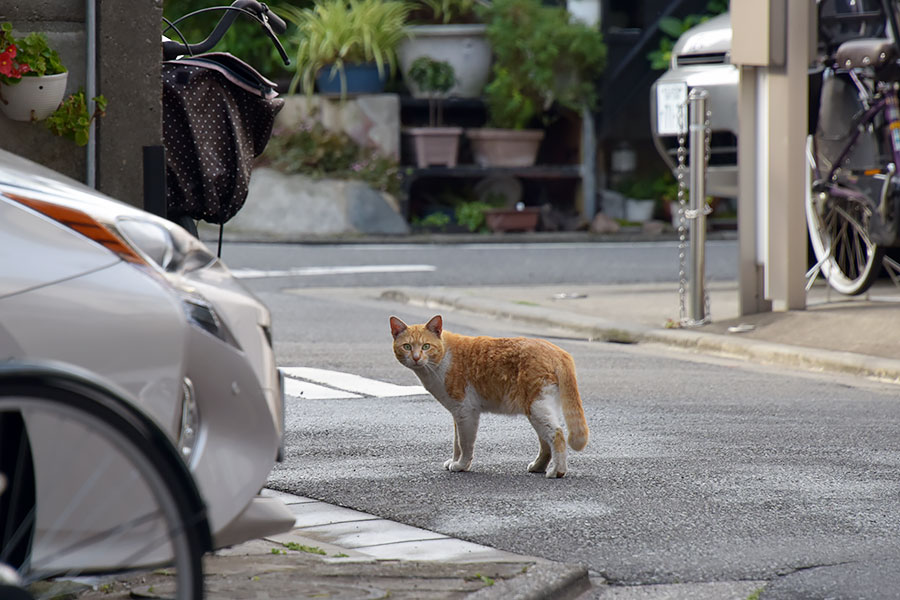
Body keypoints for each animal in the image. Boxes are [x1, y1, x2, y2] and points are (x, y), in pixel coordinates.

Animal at [388, 314, 588, 478]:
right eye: (407, 346)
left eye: (426, 346)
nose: (416, 357)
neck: (444, 357)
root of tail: (558, 351)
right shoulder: (456, 413)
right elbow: (456, 442)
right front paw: (455, 460)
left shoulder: (465, 411)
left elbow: (465, 443)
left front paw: (462, 465)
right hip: (537, 409)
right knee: (545, 442)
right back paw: (538, 467)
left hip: (537, 407)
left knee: (557, 435)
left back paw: (557, 471)